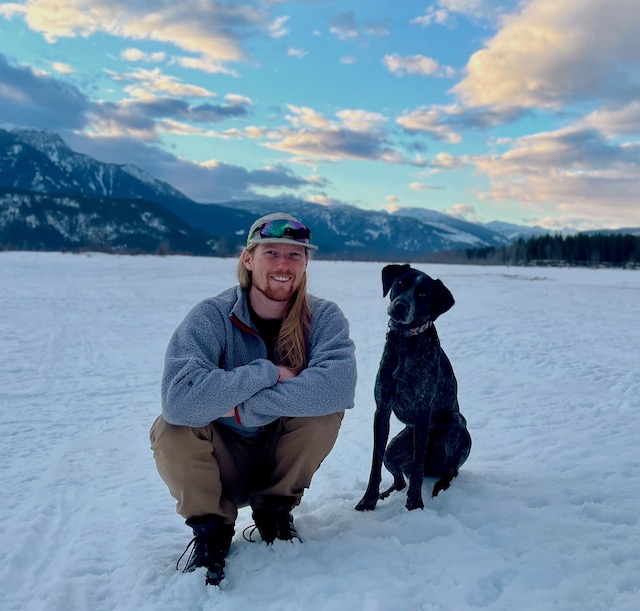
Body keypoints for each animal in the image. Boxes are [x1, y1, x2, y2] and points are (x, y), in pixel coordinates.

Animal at [352, 264, 472, 512]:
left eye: (423, 294)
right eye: (400, 283)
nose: (400, 306)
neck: (405, 341)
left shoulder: (423, 407)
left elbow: (417, 465)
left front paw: (415, 503)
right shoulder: (382, 407)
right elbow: (375, 461)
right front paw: (368, 500)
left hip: (456, 422)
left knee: (449, 469)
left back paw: (439, 486)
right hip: (394, 447)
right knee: (398, 478)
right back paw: (386, 494)